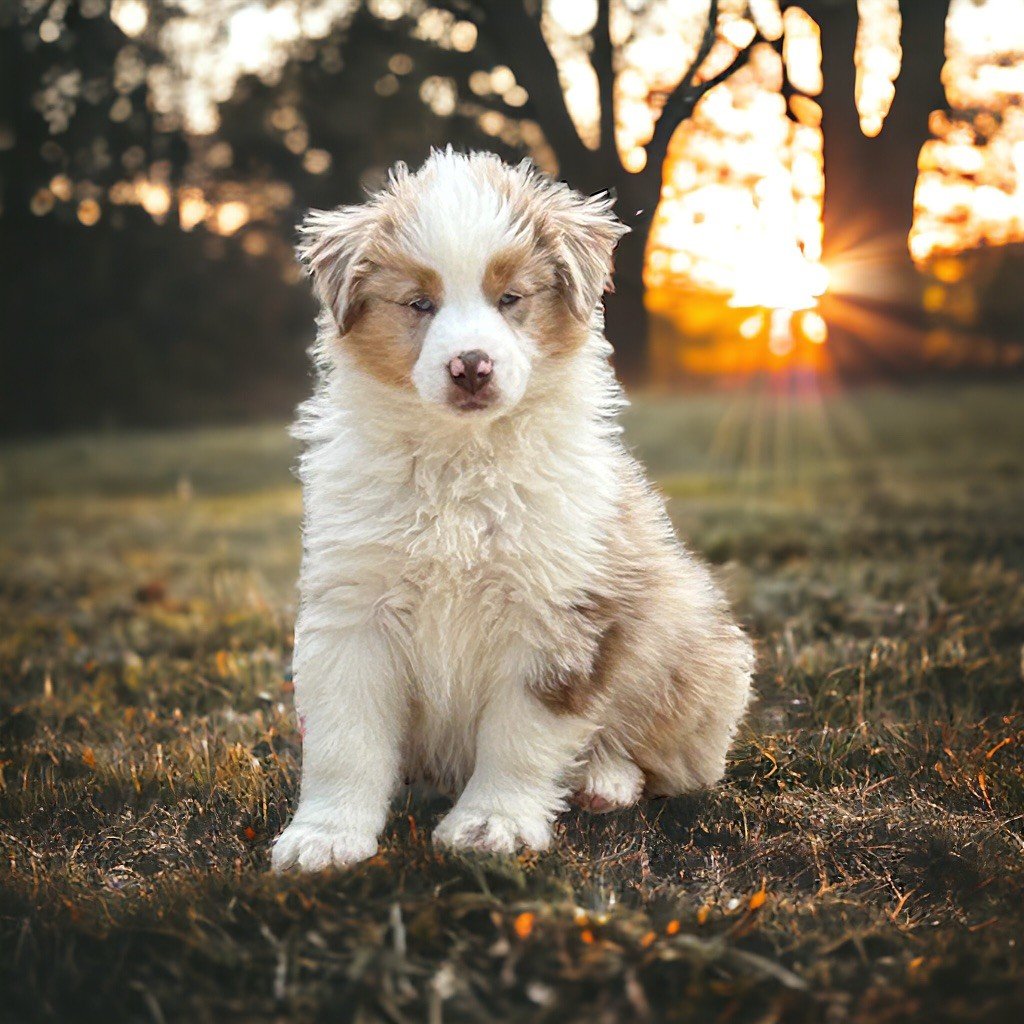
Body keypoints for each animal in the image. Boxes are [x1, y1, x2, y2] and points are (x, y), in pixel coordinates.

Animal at [272, 149, 753, 872]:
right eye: (420, 303)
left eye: (511, 299)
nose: (471, 366)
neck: (460, 459)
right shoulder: (353, 607)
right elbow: (344, 739)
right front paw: (326, 836)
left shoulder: (556, 613)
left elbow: (520, 734)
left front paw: (491, 824)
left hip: (691, 646)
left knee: (657, 758)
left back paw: (604, 781)